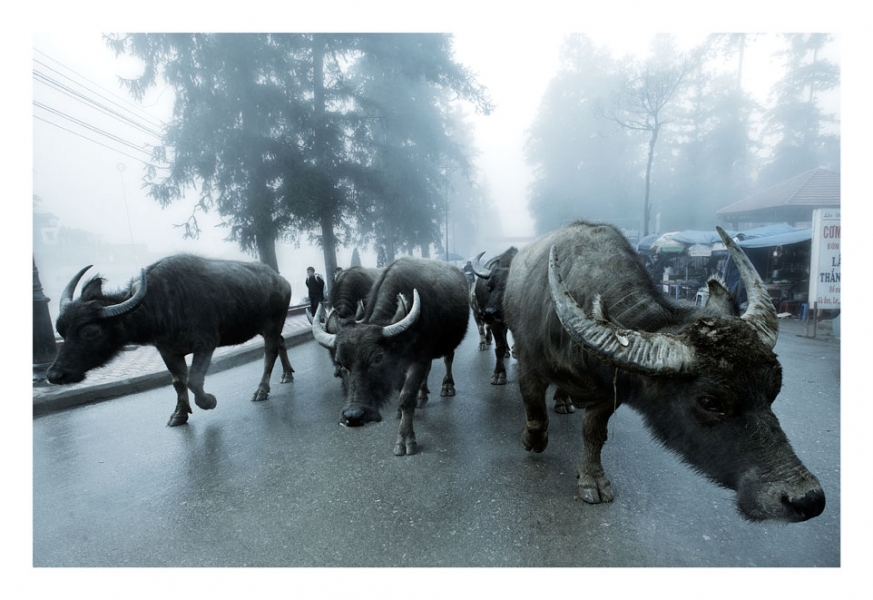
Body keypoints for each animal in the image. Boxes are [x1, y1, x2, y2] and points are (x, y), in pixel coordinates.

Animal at [46, 253, 294, 426]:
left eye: (91, 332)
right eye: (61, 330)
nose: (55, 375)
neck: (162, 303)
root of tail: (282, 281)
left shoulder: (206, 344)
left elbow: (194, 380)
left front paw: (209, 401)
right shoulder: (168, 351)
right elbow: (178, 382)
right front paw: (179, 414)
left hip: (273, 323)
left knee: (270, 351)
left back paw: (261, 390)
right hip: (264, 327)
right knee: (281, 343)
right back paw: (287, 375)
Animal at [314, 255, 470, 458]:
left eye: (378, 359)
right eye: (341, 363)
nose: (354, 416)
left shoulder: (419, 358)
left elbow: (406, 397)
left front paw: (405, 440)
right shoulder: (400, 364)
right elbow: (400, 388)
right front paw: (401, 410)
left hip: (448, 342)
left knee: (448, 358)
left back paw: (447, 387)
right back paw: (422, 396)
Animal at [504, 223, 824, 524]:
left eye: (774, 388)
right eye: (710, 402)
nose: (808, 499)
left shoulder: (611, 392)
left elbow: (594, 431)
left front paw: (592, 479)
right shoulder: (528, 365)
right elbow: (536, 413)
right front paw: (533, 441)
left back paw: (563, 400)